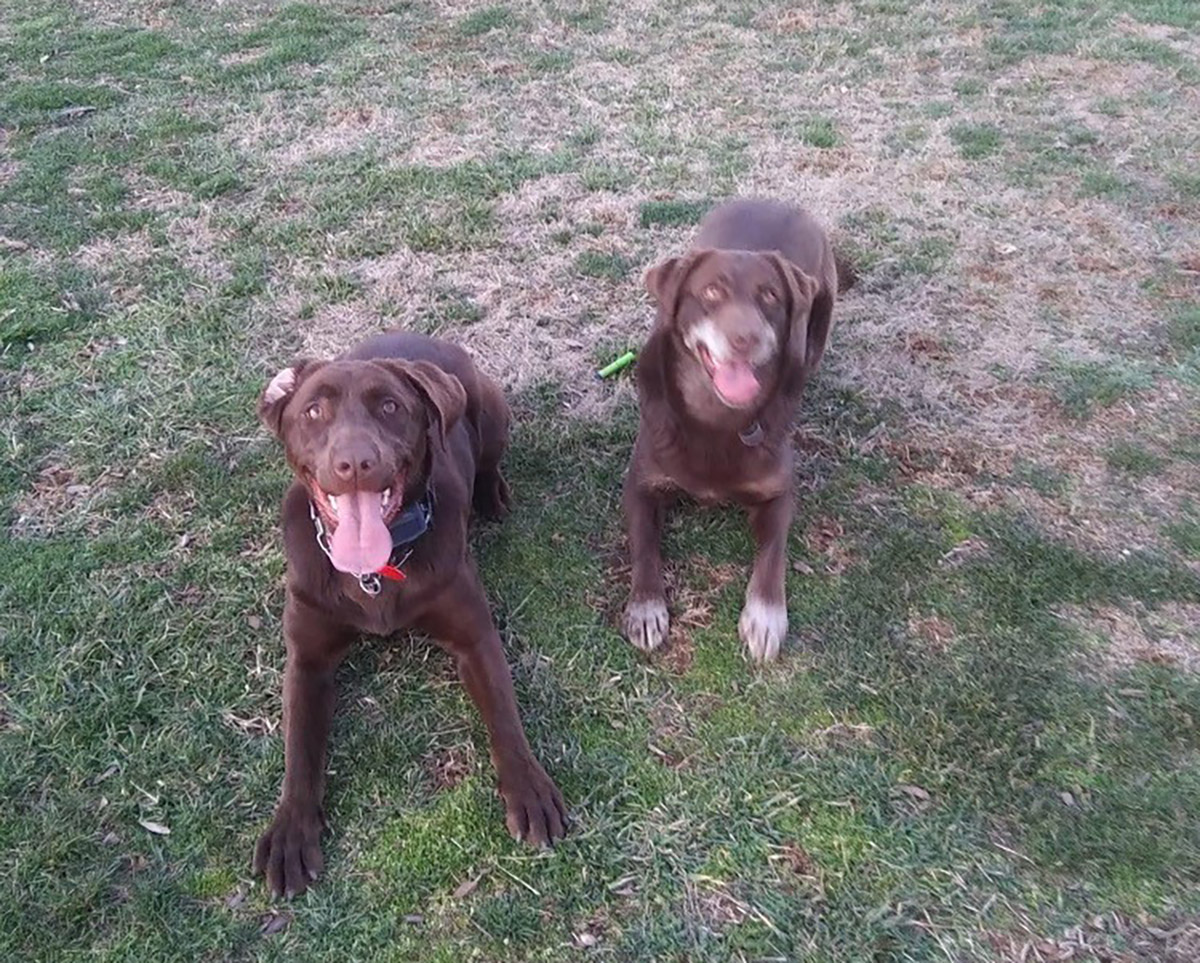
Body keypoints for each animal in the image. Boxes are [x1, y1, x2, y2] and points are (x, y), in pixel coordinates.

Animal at [249, 331, 566, 893]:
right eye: (313, 411)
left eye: (391, 407)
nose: (355, 462)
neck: (373, 573)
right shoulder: (307, 659)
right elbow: (299, 752)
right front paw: (290, 830)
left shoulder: (474, 637)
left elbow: (505, 717)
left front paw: (529, 788)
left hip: (491, 407)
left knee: (489, 459)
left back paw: (492, 495)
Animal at [624, 195, 840, 662]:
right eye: (711, 291)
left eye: (770, 296)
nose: (746, 338)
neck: (716, 417)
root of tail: (775, 201)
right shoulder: (640, 485)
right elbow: (644, 548)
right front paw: (646, 608)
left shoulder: (779, 493)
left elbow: (773, 554)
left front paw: (765, 617)